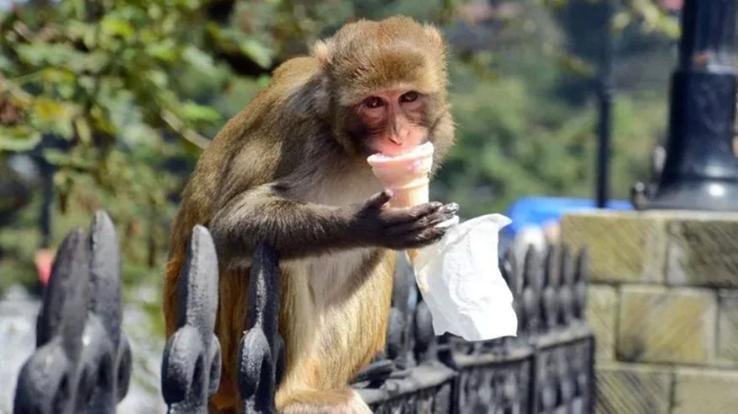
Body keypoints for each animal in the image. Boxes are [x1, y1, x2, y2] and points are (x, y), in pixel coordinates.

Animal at [163, 16, 457, 413]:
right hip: (224, 355)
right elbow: (229, 226)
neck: (348, 148)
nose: (398, 137)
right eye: (374, 103)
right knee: (276, 253)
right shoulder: (296, 131)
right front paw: (367, 225)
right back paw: (292, 395)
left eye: (408, 97)